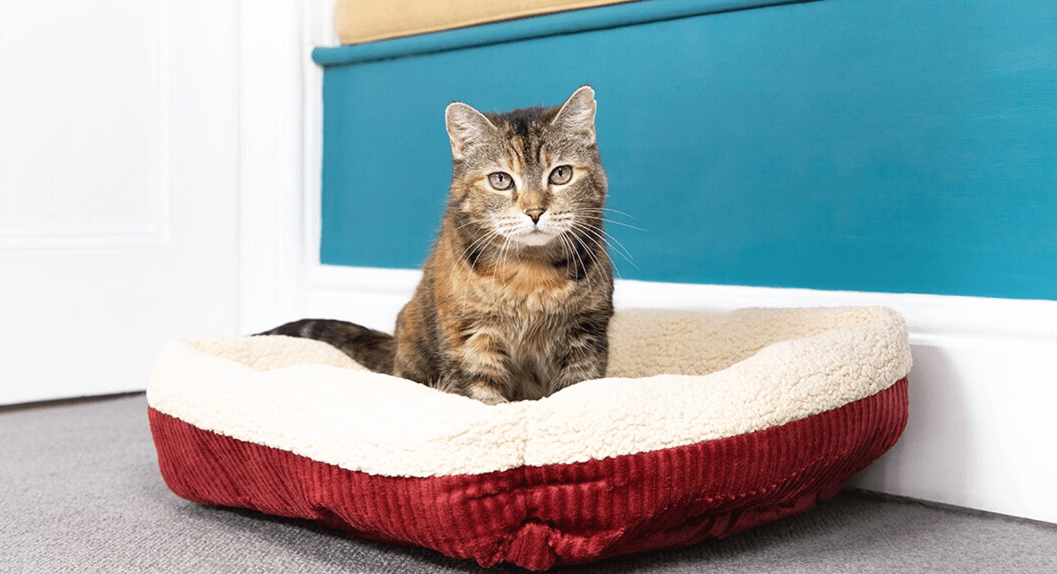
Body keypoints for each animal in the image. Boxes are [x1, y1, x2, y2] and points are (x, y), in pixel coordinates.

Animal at [260, 87, 617, 405]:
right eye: (500, 180)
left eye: (561, 174)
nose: (534, 211)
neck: (531, 274)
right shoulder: (471, 338)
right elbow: (484, 397)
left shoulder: (586, 335)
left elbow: (578, 389)